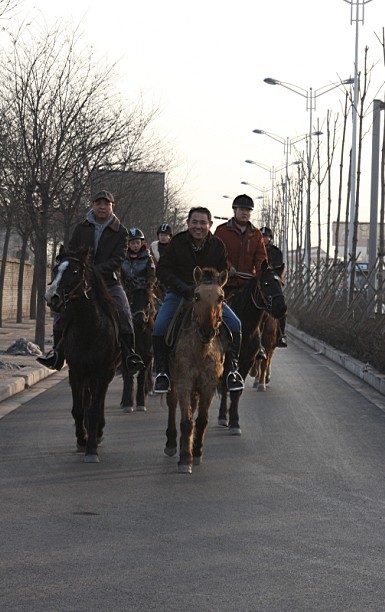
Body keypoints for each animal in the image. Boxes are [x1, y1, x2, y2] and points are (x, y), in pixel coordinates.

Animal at [44, 249, 120, 464]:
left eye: (75, 271)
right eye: (55, 269)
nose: (51, 297)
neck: (89, 329)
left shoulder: (101, 372)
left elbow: (94, 409)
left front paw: (91, 449)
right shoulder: (76, 371)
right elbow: (78, 409)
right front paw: (81, 439)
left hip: (107, 372)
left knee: (99, 400)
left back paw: (98, 431)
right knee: (87, 400)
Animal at [121, 282, 155, 412]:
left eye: (148, 302)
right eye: (131, 301)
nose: (140, 321)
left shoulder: (147, 355)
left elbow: (141, 376)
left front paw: (141, 403)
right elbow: (127, 376)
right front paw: (127, 404)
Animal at [163, 266, 228, 474]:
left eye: (220, 297)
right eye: (197, 296)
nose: (207, 331)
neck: (201, 348)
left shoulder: (208, 385)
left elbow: (201, 420)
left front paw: (197, 452)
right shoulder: (184, 382)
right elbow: (186, 421)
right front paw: (185, 459)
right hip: (173, 380)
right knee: (172, 404)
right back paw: (172, 443)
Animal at [216, 258, 284, 436]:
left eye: (281, 283)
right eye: (266, 283)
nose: (281, 307)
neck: (245, 325)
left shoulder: (248, 359)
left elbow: (237, 390)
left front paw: (234, 422)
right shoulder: (228, 360)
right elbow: (227, 386)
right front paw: (226, 418)